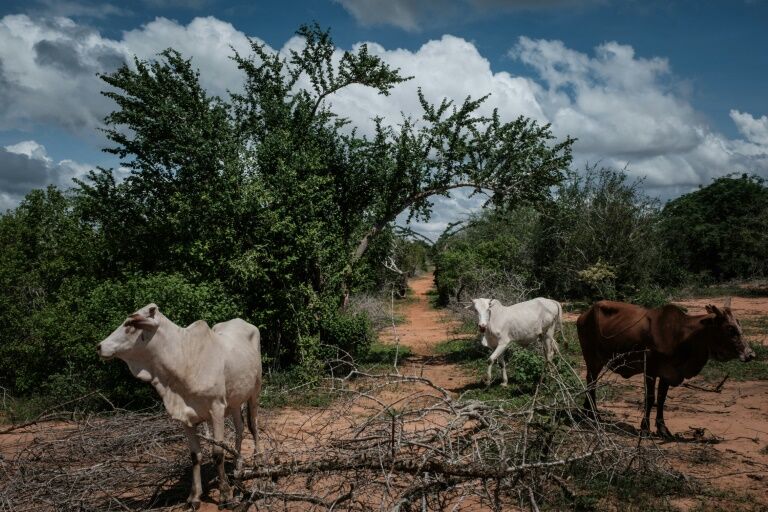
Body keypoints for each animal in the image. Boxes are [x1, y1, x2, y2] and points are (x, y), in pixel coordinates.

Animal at [96, 304, 260, 508]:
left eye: (129, 325)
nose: (99, 346)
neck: (184, 360)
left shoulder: (217, 409)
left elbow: (218, 453)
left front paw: (225, 494)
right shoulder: (186, 416)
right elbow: (195, 456)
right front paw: (194, 496)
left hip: (255, 390)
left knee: (253, 427)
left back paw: (257, 463)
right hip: (236, 400)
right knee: (239, 428)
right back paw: (238, 465)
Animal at [580, 298, 752, 438]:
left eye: (739, 325)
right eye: (730, 329)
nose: (750, 354)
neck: (682, 336)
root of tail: (585, 314)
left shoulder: (667, 374)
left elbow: (661, 399)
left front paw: (663, 429)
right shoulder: (650, 370)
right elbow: (650, 398)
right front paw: (645, 429)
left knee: (591, 383)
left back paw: (588, 413)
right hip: (592, 359)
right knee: (591, 382)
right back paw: (592, 415)